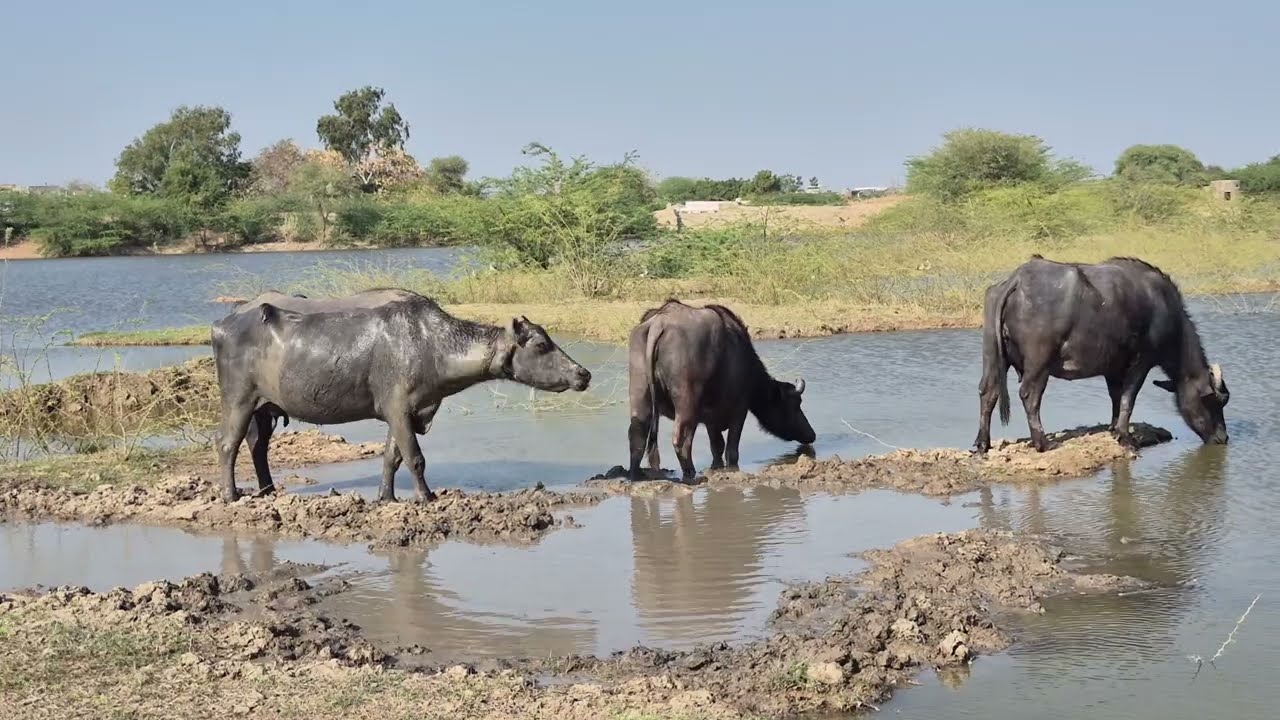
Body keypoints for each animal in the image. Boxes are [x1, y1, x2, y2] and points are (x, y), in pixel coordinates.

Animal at [211, 288, 591, 503]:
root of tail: (223, 323)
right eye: (541, 345)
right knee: (228, 444)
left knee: (257, 446)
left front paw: (386, 497)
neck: (432, 345)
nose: (583, 374)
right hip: (239, 399)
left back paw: (268, 490)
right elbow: (415, 457)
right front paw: (426, 496)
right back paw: (231, 494)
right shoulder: (397, 408)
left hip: (265, 408)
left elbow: (391, 457)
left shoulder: (410, 411)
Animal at [626, 298, 816, 482]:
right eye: (794, 404)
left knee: (637, 434)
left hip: (640, 392)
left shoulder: (711, 418)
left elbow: (716, 446)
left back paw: (636, 474)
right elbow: (731, 448)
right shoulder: (739, 409)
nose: (811, 434)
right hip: (687, 403)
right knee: (681, 439)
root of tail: (660, 322)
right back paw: (690, 473)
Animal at [974, 255, 1230, 454]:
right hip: (1039, 363)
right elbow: (1128, 397)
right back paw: (1043, 443)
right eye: (1213, 401)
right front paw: (1125, 436)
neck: (1163, 309)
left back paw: (982, 443)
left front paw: (1113, 428)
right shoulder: (1142, 361)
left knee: (988, 391)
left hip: (992, 356)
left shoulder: (1112, 366)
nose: (1223, 438)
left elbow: (1115, 396)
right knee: (1029, 395)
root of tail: (1018, 279)